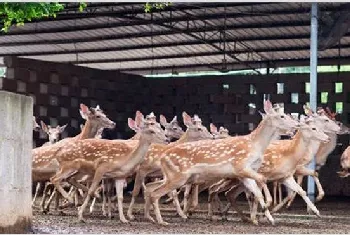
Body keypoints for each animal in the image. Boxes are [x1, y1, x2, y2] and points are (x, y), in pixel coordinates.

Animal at [142, 100, 298, 225]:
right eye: (282, 116)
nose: (296, 126)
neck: (256, 145)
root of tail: (163, 157)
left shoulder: (245, 174)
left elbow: (257, 191)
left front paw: (269, 218)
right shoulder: (240, 166)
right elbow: (262, 179)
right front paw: (268, 205)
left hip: (173, 176)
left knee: (150, 188)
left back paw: (151, 218)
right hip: (178, 176)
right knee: (156, 193)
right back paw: (162, 221)